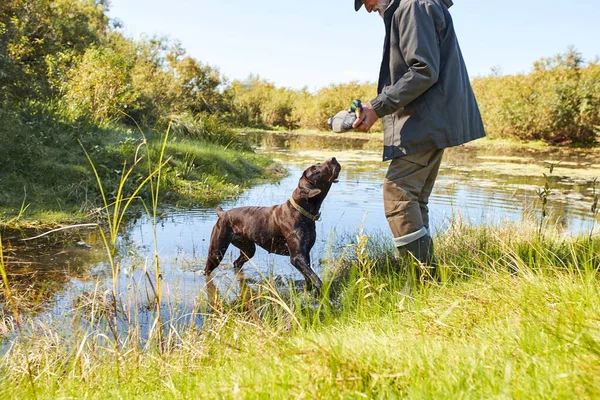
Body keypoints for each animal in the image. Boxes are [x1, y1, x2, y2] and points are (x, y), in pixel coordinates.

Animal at [203, 158, 340, 292]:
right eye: (315, 169)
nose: (333, 158)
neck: (301, 211)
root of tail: (222, 213)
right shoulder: (297, 257)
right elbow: (316, 279)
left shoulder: (305, 254)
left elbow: (309, 278)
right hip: (216, 252)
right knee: (207, 270)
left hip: (248, 249)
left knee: (236, 263)